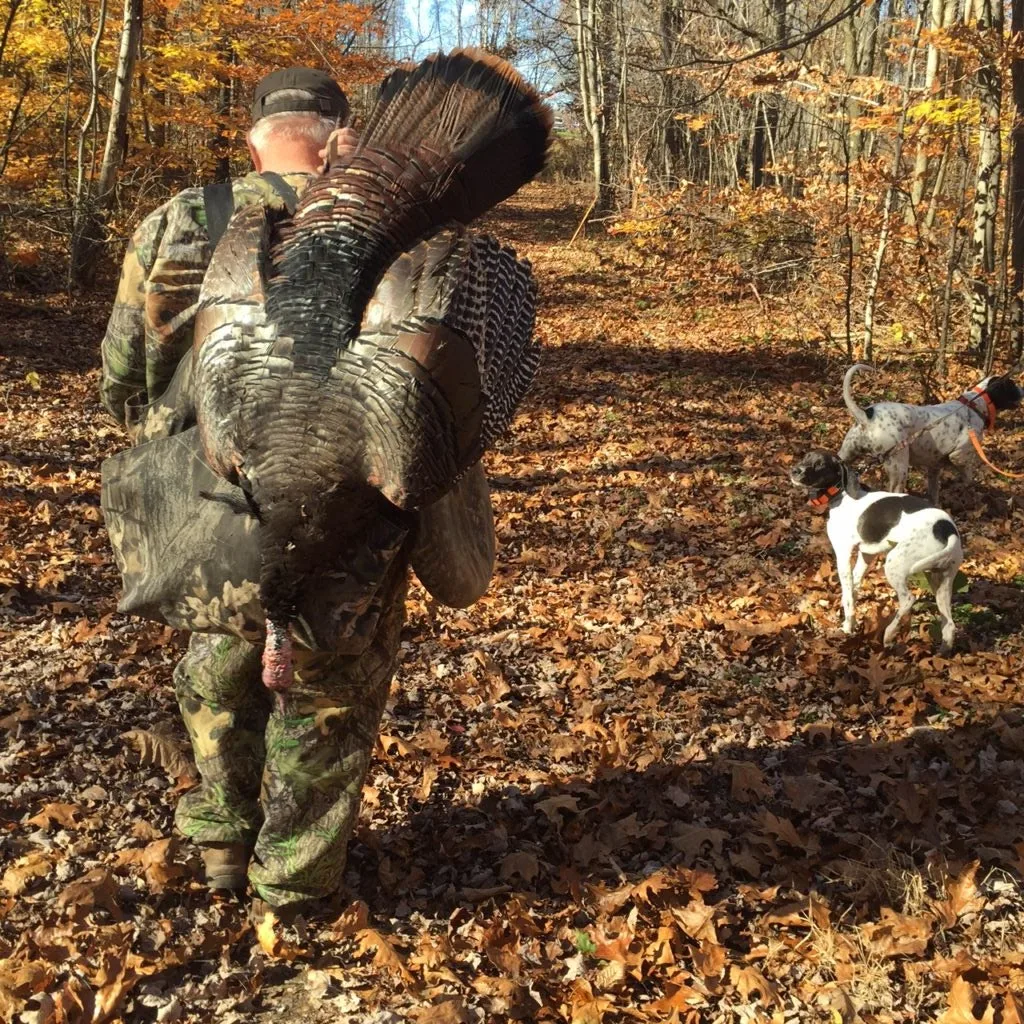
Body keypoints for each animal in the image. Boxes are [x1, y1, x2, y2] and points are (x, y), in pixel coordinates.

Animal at [786, 454, 962, 651]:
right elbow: (853, 588)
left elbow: (848, 596)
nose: (795, 470)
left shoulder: (843, 553)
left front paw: (847, 628)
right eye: (806, 456)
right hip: (941, 580)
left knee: (908, 599)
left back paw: (889, 634)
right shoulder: (866, 554)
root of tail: (947, 529)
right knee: (949, 624)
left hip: (896, 565)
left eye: (820, 464)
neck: (842, 495)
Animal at [835, 364, 1019, 503]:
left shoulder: (934, 467)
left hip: (845, 455)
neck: (975, 404)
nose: (1022, 389)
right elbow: (968, 476)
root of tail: (866, 417)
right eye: (1013, 386)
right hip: (899, 467)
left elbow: (934, 492)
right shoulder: (959, 456)